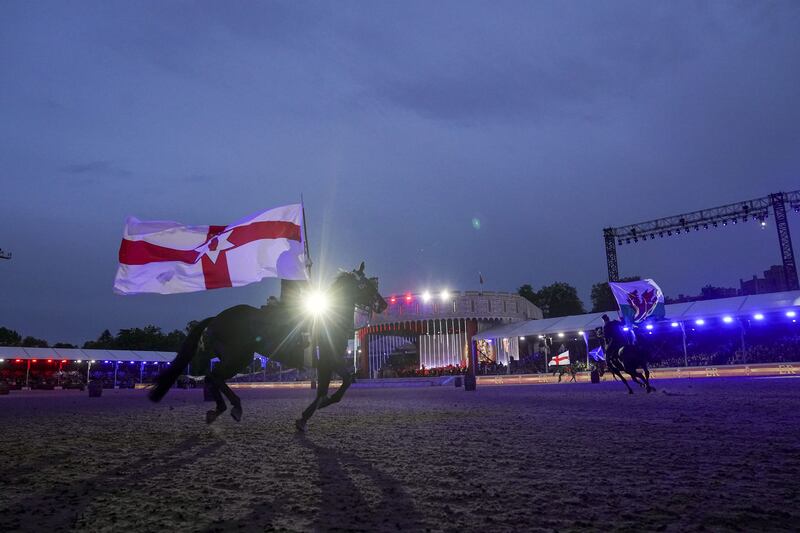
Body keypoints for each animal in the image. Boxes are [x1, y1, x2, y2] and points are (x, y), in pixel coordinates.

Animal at [152, 262, 390, 428]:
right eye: (364, 285)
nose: (383, 304)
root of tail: (217, 318)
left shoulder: (329, 362)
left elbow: (335, 385)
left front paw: (307, 416)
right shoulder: (328, 360)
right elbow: (336, 385)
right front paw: (311, 412)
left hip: (234, 357)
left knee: (212, 377)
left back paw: (220, 409)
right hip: (238, 357)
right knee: (215, 376)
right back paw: (232, 407)